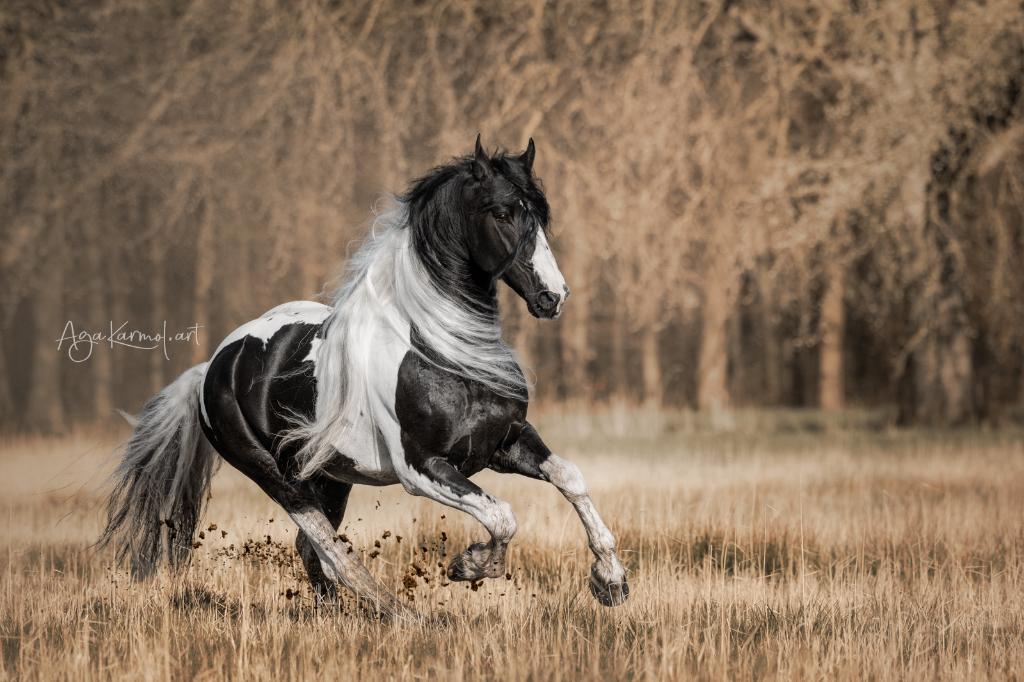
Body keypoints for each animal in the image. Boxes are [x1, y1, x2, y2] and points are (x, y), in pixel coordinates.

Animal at [99, 136, 629, 618]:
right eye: (502, 213)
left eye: (541, 214)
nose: (553, 297)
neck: (442, 347)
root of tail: (211, 369)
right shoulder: (422, 468)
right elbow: (502, 516)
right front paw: (469, 566)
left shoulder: (504, 442)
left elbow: (569, 477)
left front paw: (610, 582)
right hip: (278, 478)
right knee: (332, 552)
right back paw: (400, 614)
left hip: (329, 476)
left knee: (313, 551)